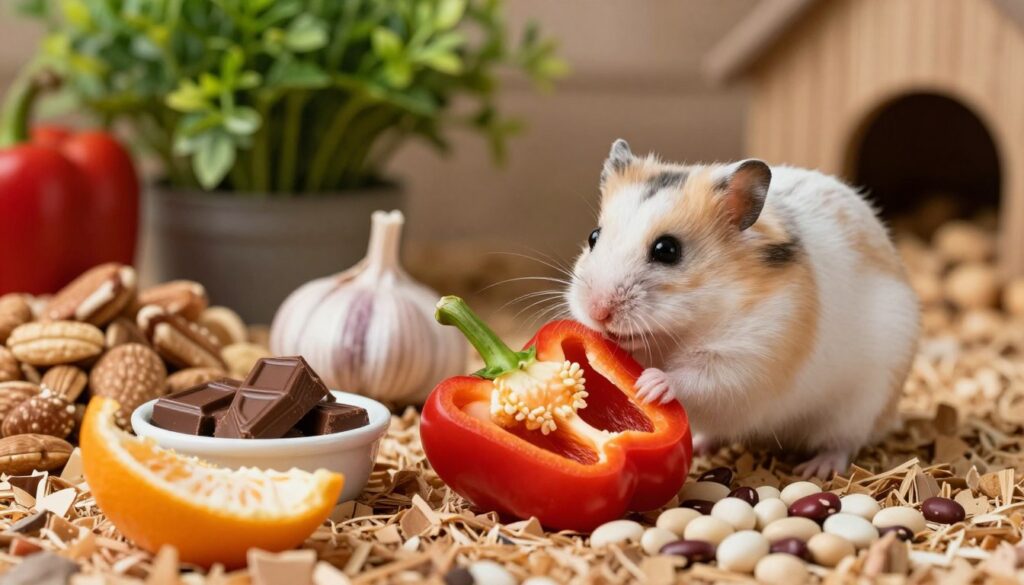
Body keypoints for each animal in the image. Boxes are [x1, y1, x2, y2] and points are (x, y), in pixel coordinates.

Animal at [567, 139, 920, 478]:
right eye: (593, 236)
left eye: (667, 250)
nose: (597, 312)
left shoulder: (748, 360)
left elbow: (699, 378)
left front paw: (650, 385)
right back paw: (701, 447)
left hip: (861, 406)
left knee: (843, 443)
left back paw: (817, 467)